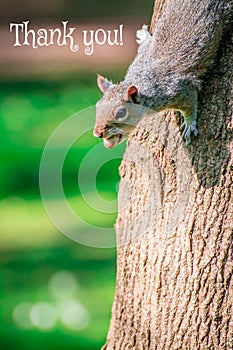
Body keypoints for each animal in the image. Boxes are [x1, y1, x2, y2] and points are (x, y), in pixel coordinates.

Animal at [93, 0, 233, 148]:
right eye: (98, 106)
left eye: (121, 112)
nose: (97, 133)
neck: (142, 78)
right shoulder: (142, 56)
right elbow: (146, 45)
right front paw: (144, 36)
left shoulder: (180, 90)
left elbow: (190, 104)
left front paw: (189, 124)